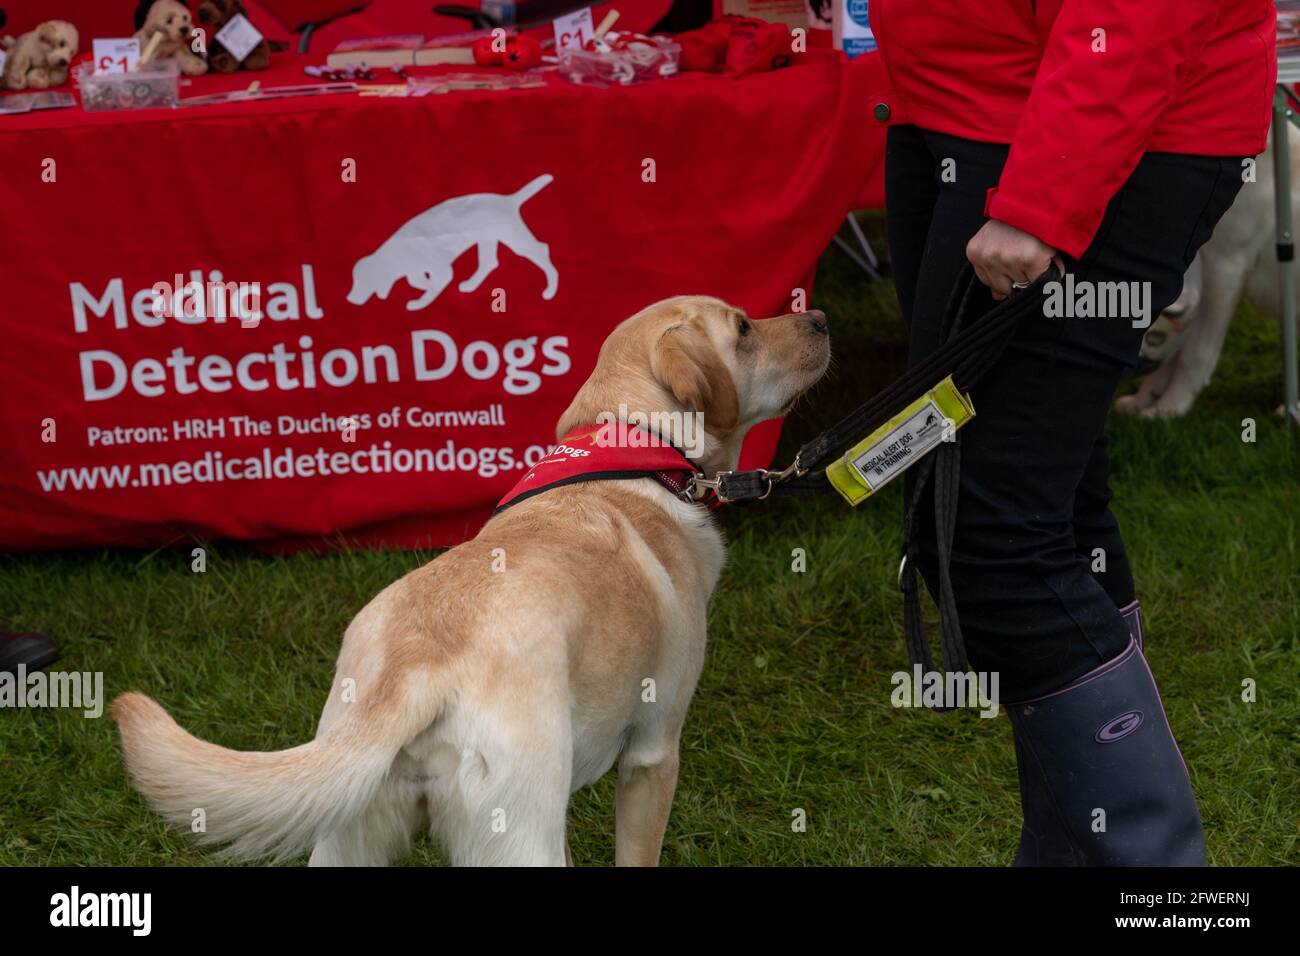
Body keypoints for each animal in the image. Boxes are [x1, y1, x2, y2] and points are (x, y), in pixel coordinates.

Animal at [109, 295, 821, 863]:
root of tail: (415, 670)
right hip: (521, 837)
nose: (816, 316)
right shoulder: (653, 755)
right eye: (744, 329)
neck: (636, 446)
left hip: (349, 834)